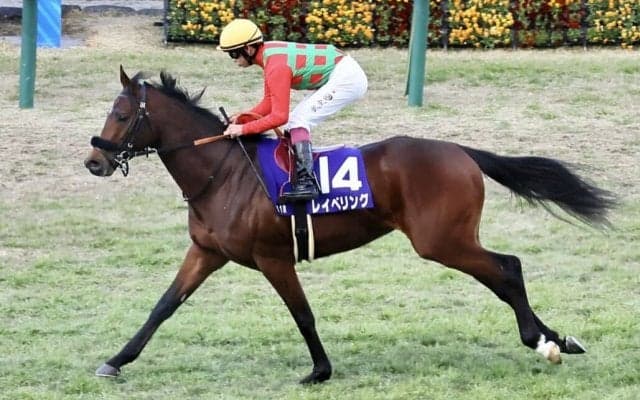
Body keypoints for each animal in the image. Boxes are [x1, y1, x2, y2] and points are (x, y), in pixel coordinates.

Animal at [84, 67, 616, 384]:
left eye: (123, 114)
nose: (94, 161)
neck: (223, 173)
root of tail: (461, 151)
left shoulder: (273, 257)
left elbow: (302, 314)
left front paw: (319, 370)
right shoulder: (207, 252)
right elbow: (163, 307)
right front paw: (116, 361)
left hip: (442, 240)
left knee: (507, 268)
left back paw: (542, 342)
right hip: (450, 239)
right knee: (507, 272)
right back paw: (559, 340)